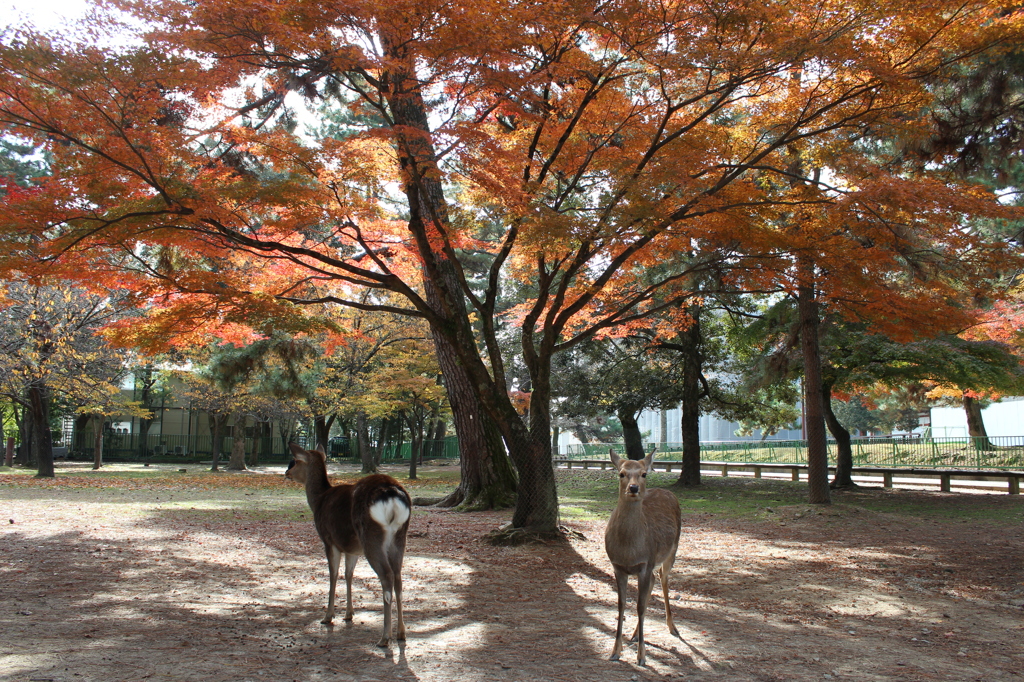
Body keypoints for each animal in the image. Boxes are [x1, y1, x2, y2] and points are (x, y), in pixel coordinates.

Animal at [284, 444, 411, 647]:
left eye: (295, 461)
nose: (286, 473)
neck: (319, 501)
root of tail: (392, 495)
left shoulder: (329, 540)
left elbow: (333, 574)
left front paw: (328, 616)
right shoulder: (352, 549)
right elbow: (349, 574)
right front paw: (349, 614)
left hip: (371, 537)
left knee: (387, 575)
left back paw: (384, 637)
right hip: (399, 537)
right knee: (398, 576)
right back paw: (401, 632)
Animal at [602, 446, 684, 663]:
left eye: (644, 473)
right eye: (621, 473)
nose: (633, 488)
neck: (629, 550)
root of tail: (668, 492)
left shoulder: (645, 564)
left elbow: (639, 606)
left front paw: (641, 656)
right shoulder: (617, 566)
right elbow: (622, 606)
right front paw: (615, 651)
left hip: (672, 550)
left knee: (663, 580)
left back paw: (672, 627)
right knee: (655, 581)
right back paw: (634, 634)